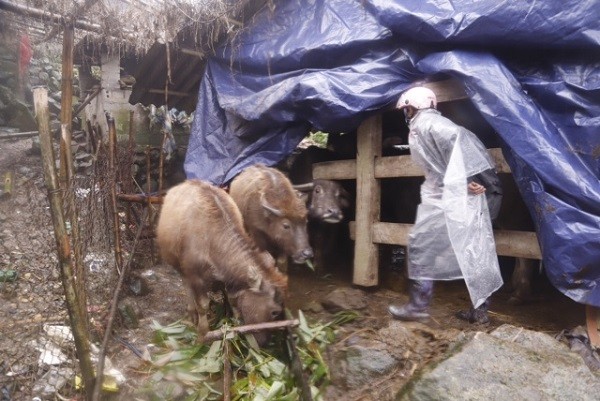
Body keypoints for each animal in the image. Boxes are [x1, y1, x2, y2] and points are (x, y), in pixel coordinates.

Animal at [155, 179, 286, 344]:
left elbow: (232, 300)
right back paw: (191, 313)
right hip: (178, 265)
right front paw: (202, 334)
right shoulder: (196, 276)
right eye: (275, 312)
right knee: (186, 285)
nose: (264, 342)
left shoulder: (229, 279)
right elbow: (203, 305)